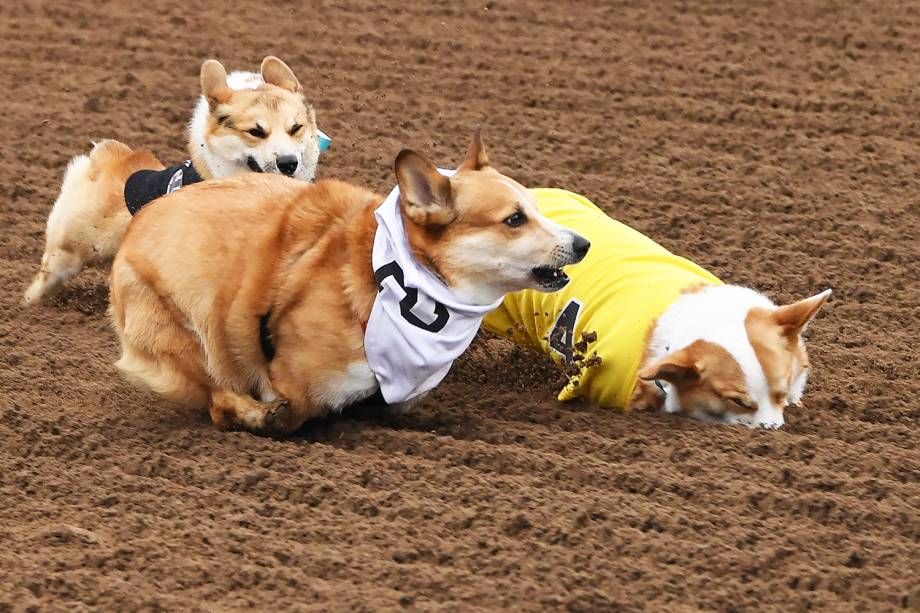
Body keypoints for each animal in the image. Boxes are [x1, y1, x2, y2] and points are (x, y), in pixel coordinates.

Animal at [108, 131, 588, 432]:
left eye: (535, 208)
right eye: (514, 220)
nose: (582, 243)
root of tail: (139, 223)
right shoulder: (295, 384)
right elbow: (292, 412)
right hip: (188, 333)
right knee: (217, 397)